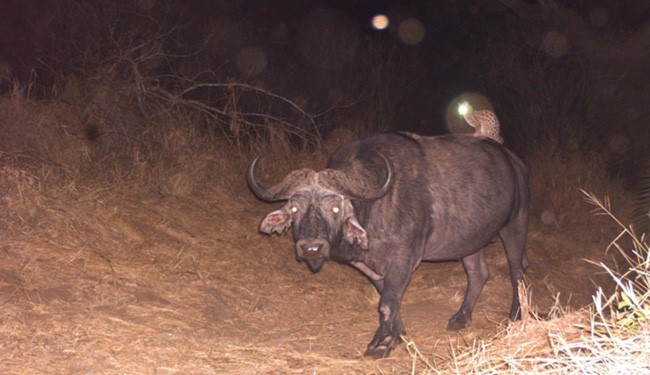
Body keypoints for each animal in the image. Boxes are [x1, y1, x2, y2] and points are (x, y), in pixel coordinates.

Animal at [247, 132, 528, 358]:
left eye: (335, 208)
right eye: (295, 209)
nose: (311, 248)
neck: (375, 207)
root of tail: (516, 162)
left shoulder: (404, 258)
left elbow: (387, 302)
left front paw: (381, 344)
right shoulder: (369, 265)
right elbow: (388, 299)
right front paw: (397, 334)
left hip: (514, 225)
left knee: (518, 271)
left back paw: (516, 315)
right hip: (470, 241)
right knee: (478, 273)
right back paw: (461, 317)